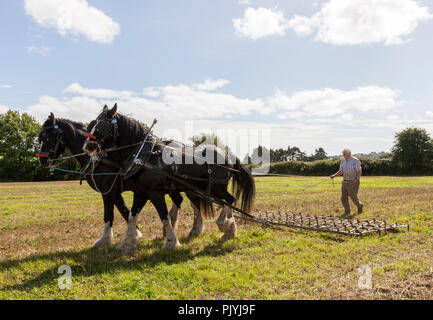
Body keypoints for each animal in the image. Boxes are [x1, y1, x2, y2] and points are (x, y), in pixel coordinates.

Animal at [36, 114, 204, 251]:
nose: (42, 161)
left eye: (49, 137)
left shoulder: (109, 190)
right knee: (181, 200)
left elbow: (114, 213)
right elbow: (125, 211)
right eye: (40, 138)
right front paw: (134, 235)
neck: (99, 158)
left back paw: (195, 229)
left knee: (194, 202)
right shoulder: (114, 191)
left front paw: (113, 239)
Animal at [82, 104, 255, 254]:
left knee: (229, 200)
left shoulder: (154, 193)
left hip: (216, 188)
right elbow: (132, 216)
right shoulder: (141, 193)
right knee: (222, 203)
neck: (144, 157)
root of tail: (227, 155)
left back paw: (224, 225)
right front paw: (128, 243)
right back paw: (229, 230)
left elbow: (164, 217)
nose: (87, 147)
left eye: (102, 125)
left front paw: (171, 242)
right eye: (92, 124)